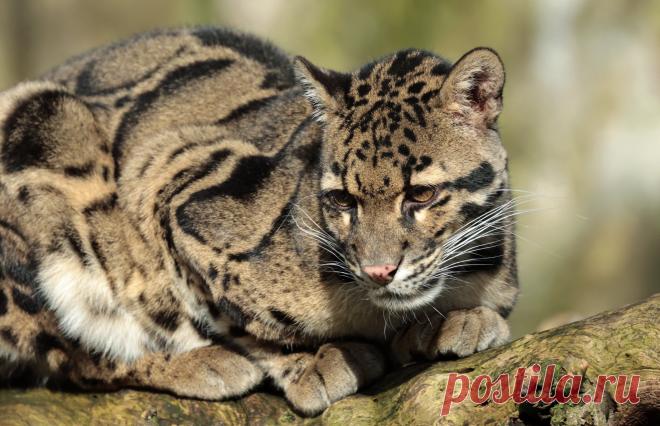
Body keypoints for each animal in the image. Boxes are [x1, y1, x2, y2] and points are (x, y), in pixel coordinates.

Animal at [0, 27, 518, 415]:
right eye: (342, 200)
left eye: (421, 194)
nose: (378, 271)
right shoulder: (169, 179)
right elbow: (238, 320)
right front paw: (309, 361)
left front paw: (460, 319)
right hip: (42, 120)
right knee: (67, 353)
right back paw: (198, 362)